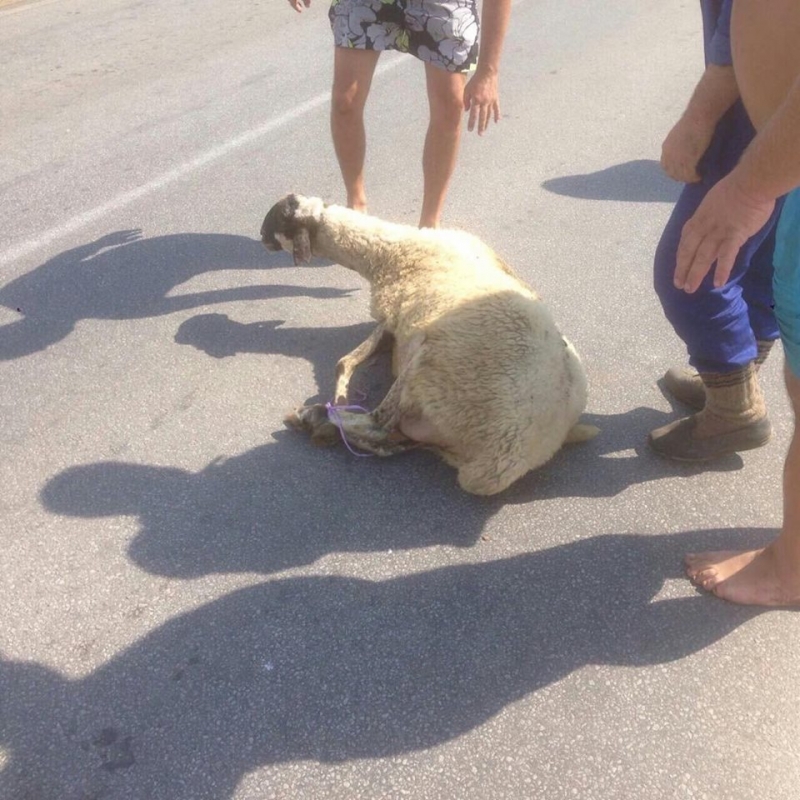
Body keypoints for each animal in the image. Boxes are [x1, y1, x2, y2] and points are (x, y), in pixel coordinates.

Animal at [260, 194, 596, 494]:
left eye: (280, 217)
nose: (261, 237)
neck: (390, 251)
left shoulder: (394, 317)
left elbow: (344, 362)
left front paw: (335, 402)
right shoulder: (394, 326)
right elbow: (347, 360)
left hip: (431, 369)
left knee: (379, 426)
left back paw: (315, 418)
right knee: (392, 441)